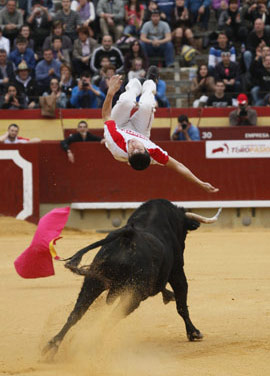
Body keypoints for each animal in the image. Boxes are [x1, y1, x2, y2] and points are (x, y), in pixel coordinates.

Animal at [43, 198, 211, 356]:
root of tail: (128, 237)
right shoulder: (177, 271)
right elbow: (182, 304)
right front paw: (194, 333)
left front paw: (169, 296)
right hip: (133, 294)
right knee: (111, 318)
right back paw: (93, 344)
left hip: (93, 282)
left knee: (76, 313)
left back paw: (51, 347)